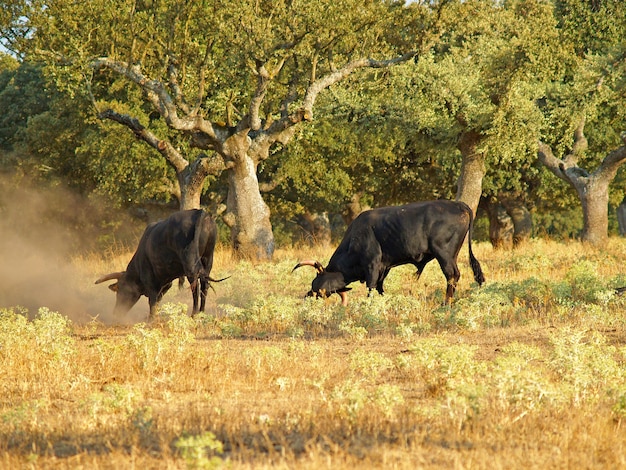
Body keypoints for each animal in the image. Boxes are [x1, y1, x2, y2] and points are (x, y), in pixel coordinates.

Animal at [95, 210, 224, 318]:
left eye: (120, 289)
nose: (116, 312)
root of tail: (199, 212)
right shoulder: (166, 284)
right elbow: (157, 300)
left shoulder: (151, 282)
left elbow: (152, 301)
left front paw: (151, 319)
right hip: (207, 259)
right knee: (204, 285)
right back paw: (202, 313)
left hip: (190, 265)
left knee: (195, 287)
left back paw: (194, 314)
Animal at [292, 201, 482, 304]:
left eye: (316, 285)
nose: (308, 296)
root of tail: (458, 204)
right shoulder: (385, 268)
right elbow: (380, 288)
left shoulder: (372, 266)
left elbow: (371, 288)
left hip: (444, 255)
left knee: (452, 275)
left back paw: (446, 303)